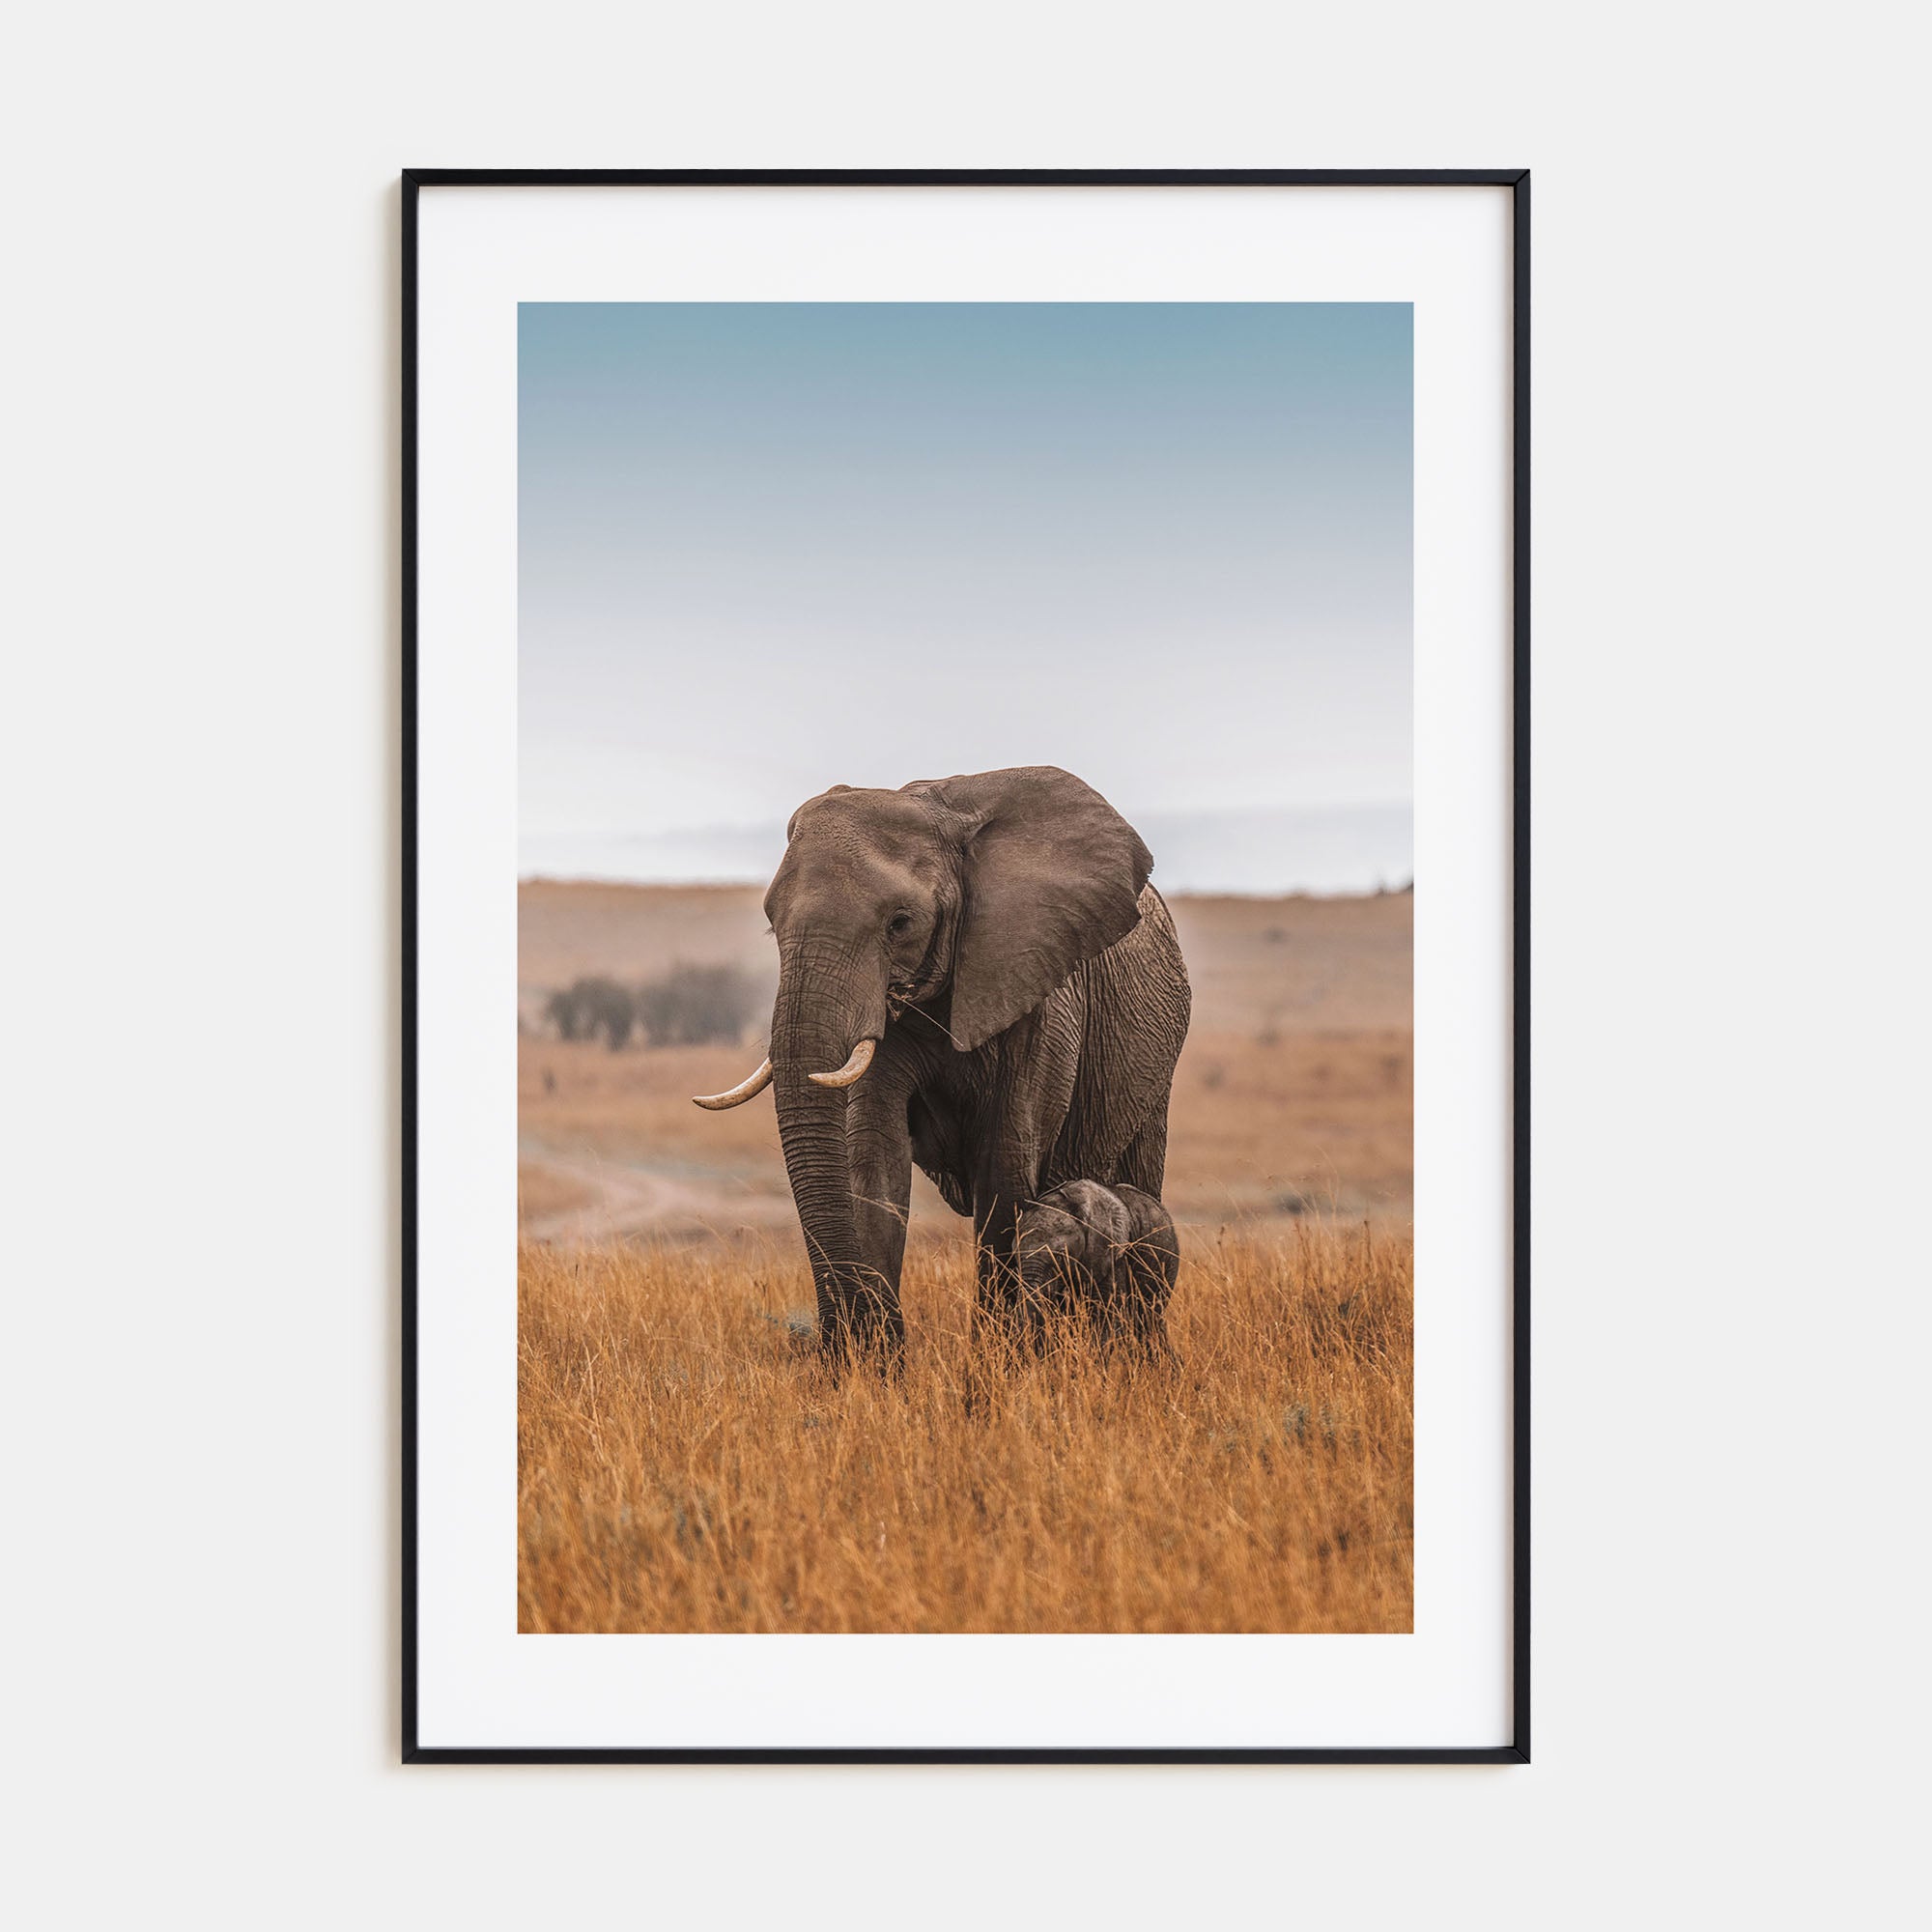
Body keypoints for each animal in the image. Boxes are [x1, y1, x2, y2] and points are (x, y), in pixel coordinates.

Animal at [1013, 1179, 1181, 1357]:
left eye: (1059, 1257)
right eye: (1015, 1256)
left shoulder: (1113, 1254)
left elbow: (1105, 1315)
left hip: (1165, 1262)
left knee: (1149, 1317)